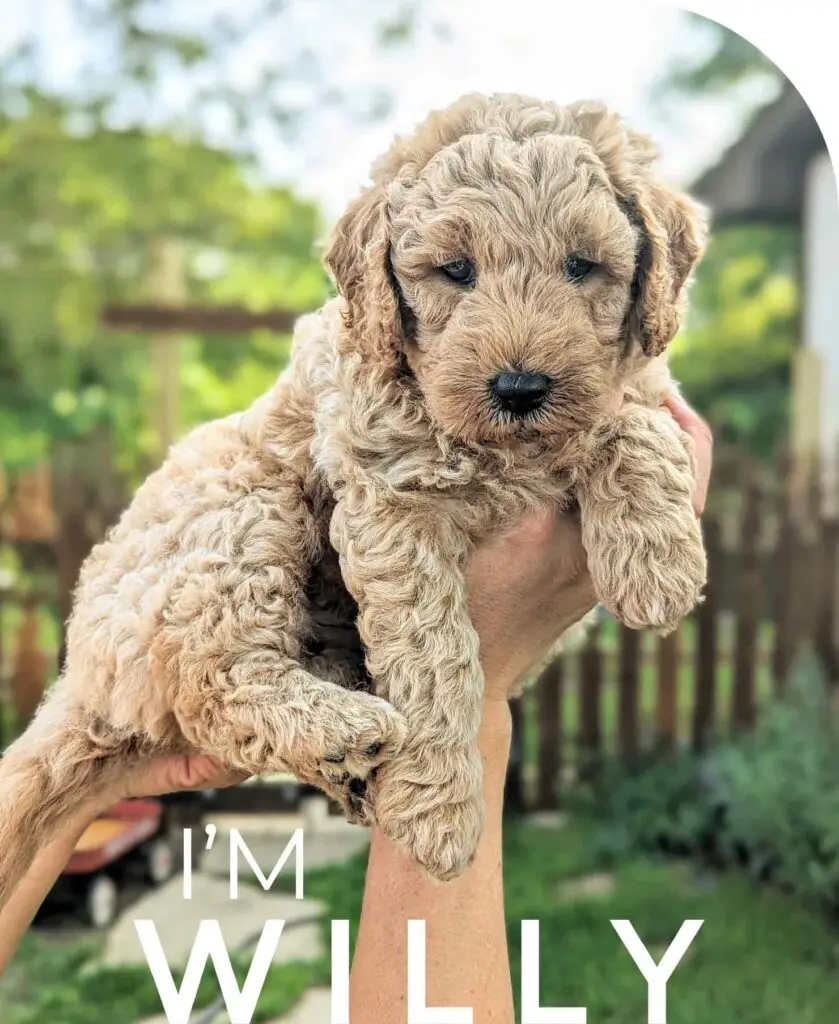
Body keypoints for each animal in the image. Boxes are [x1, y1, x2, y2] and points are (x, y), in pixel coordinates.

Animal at [0, 92, 708, 901]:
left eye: (582, 266)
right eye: (455, 270)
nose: (520, 388)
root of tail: (81, 676)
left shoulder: (635, 389)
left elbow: (634, 419)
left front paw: (656, 564)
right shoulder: (390, 499)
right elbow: (435, 654)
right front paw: (440, 815)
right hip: (237, 517)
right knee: (216, 683)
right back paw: (345, 729)